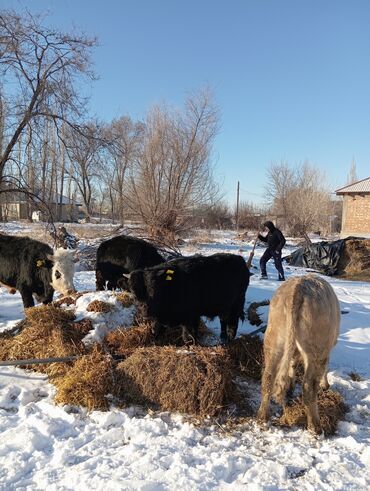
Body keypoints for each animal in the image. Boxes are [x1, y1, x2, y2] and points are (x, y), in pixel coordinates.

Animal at [258, 274, 340, 432]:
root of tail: (297, 289)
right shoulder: (327, 348)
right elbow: (326, 366)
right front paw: (324, 384)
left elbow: (292, 363)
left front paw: (290, 386)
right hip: (316, 348)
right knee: (308, 386)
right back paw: (315, 426)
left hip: (274, 339)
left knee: (268, 377)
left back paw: (262, 418)